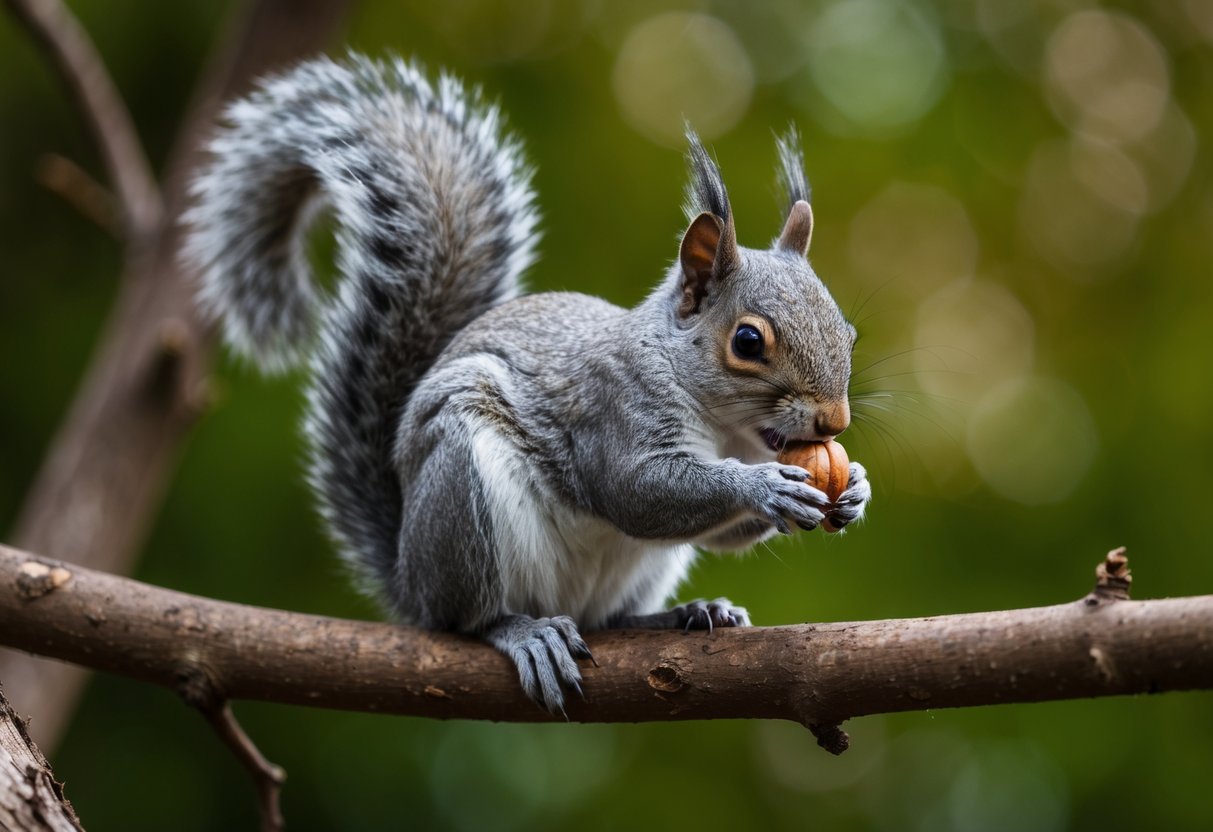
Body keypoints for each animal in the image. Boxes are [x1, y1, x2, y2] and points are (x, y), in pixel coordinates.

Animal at [186, 54, 871, 712]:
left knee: (610, 620)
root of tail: (409, 579)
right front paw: (762, 487)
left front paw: (855, 488)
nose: (834, 422)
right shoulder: (612, 409)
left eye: (850, 332)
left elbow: (722, 531)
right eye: (748, 342)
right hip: (460, 497)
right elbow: (636, 491)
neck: (728, 428)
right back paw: (523, 631)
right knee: (467, 619)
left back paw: (684, 614)